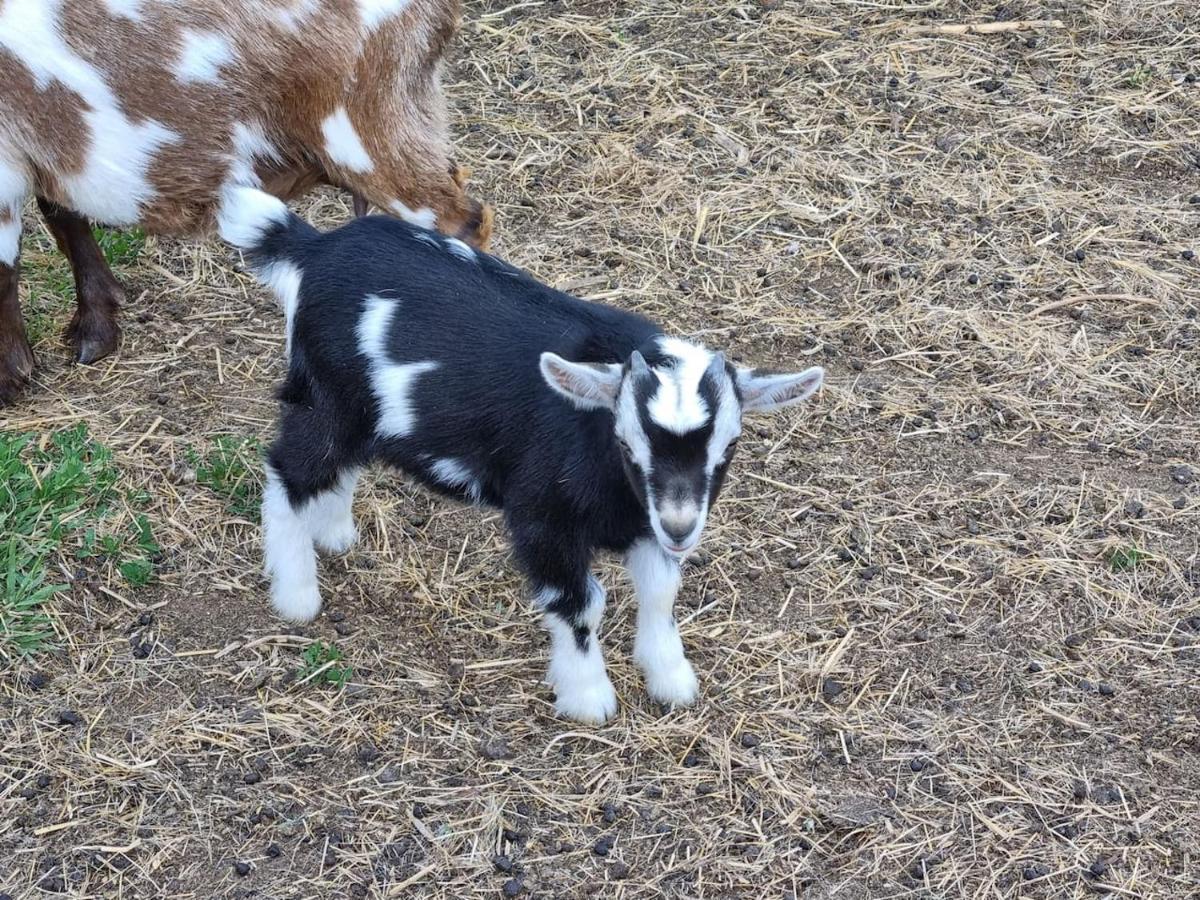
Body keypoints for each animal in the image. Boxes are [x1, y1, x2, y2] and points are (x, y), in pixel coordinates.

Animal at [0, 0, 492, 400]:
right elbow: (61, 214)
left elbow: (6, 266)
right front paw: (97, 326)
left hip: (368, 129)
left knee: (462, 223)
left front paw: (11, 379)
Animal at [218, 184, 825, 724]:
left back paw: (334, 533)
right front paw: (588, 698)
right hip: (326, 400)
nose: (681, 527)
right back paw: (296, 594)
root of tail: (315, 248)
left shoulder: (647, 523)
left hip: (362, 414)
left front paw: (671, 679)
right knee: (289, 473)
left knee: (336, 469)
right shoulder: (542, 517)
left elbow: (660, 593)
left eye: (730, 446)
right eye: (625, 442)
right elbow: (580, 603)